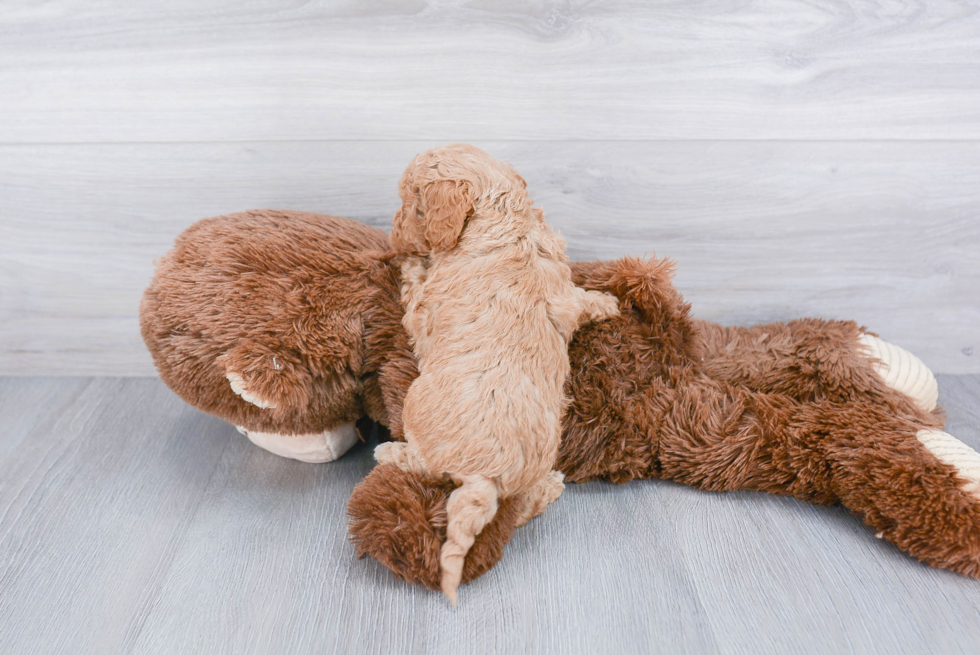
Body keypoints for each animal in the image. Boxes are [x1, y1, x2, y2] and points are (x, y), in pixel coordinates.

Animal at [376, 145, 620, 604]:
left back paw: (389, 453)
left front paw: (411, 264)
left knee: (426, 465)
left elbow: (414, 291)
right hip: (534, 465)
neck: (508, 223)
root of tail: (485, 476)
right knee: (525, 508)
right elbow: (579, 299)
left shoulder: (423, 312)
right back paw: (553, 485)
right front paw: (606, 303)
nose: (393, 239)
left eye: (410, 204)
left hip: (417, 408)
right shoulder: (562, 287)